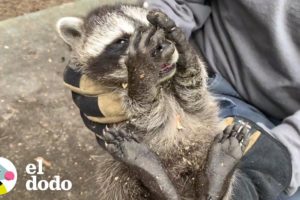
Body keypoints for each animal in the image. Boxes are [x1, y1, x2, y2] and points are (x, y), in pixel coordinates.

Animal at [57, 3, 223, 200]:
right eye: (122, 41)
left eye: (158, 30)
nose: (166, 48)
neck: (161, 84)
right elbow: (143, 111)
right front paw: (141, 70)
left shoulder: (197, 105)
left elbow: (193, 91)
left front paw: (184, 50)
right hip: (116, 168)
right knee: (116, 179)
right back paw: (152, 174)